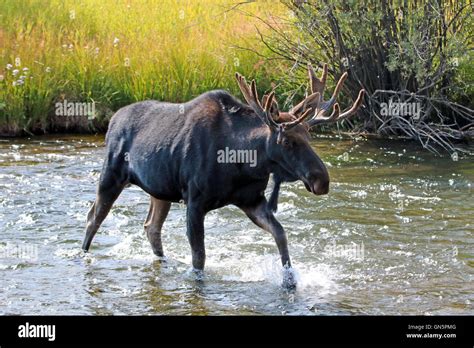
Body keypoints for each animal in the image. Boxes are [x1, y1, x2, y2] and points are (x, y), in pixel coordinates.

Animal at [81, 64, 364, 286]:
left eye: (309, 137)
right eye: (287, 141)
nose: (321, 181)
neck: (244, 163)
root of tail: (112, 120)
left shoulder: (252, 200)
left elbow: (281, 235)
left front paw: (289, 281)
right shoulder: (195, 202)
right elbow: (199, 258)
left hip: (159, 190)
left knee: (151, 227)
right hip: (112, 174)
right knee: (93, 217)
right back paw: (83, 254)